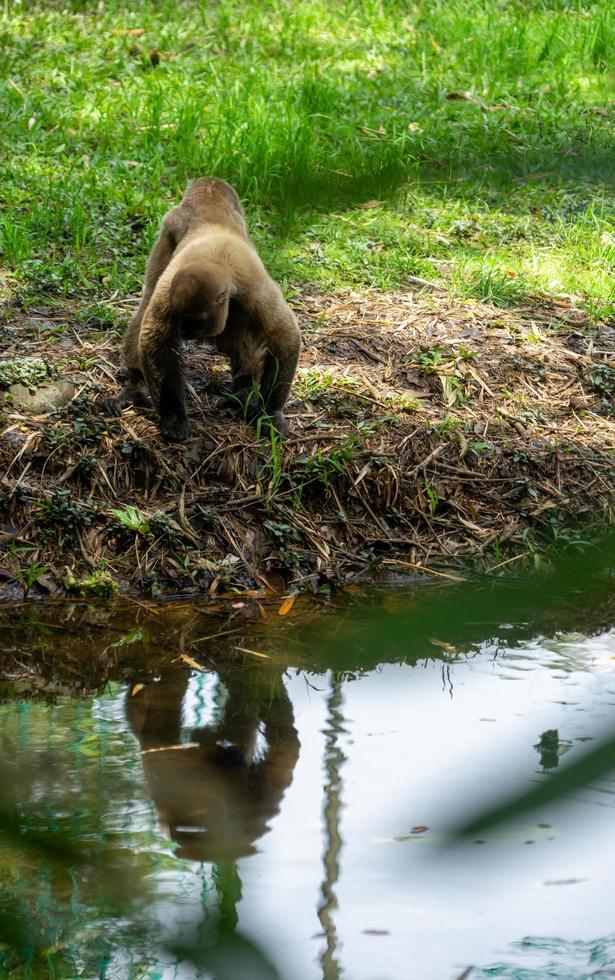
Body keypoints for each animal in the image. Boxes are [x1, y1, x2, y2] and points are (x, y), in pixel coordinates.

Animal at [104, 178, 302, 442]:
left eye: (195, 322)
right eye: (182, 321)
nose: (187, 334)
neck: (215, 260)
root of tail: (210, 186)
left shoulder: (254, 289)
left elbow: (285, 336)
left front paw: (270, 413)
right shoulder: (170, 291)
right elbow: (155, 338)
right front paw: (173, 416)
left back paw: (244, 392)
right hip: (171, 225)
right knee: (146, 299)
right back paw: (136, 386)